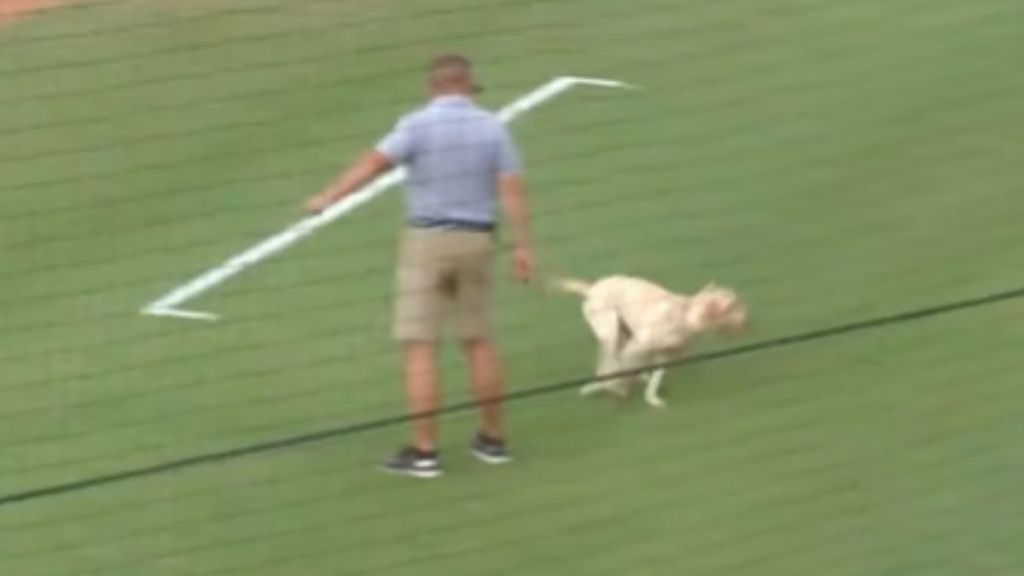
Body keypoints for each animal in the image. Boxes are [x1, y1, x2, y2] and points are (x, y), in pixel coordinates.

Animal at [552, 274, 745, 405]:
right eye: (733, 305)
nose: (747, 320)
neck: (683, 316)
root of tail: (592, 289)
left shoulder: (663, 355)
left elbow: (655, 377)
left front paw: (651, 397)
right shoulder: (636, 348)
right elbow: (621, 370)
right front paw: (611, 388)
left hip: (623, 332)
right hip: (610, 333)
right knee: (610, 358)